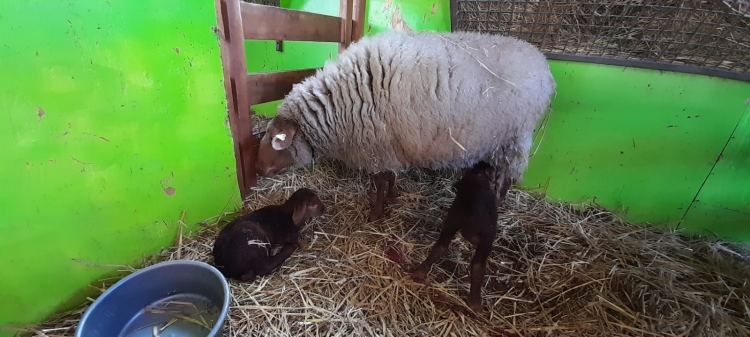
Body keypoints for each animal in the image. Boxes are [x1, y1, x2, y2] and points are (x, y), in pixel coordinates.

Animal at [258, 29, 560, 220]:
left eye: (275, 139)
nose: (258, 170)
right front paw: (392, 197)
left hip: (516, 137)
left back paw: (498, 202)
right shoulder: (390, 143)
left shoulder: (376, 145)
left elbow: (381, 181)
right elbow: (391, 176)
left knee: (508, 176)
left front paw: (376, 213)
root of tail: (544, 65)